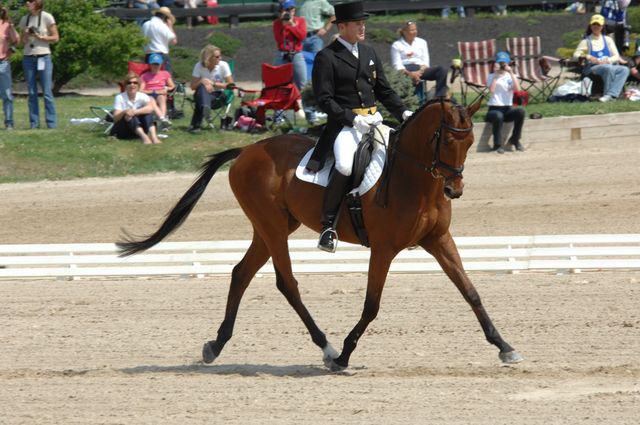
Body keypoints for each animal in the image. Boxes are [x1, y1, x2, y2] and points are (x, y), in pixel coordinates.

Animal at [117, 97, 524, 370]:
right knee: (286, 283)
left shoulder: (438, 240)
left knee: (241, 274)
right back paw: (326, 348)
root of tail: (247, 150)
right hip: (273, 226)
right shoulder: (384, 248)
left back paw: (215, 346)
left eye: (469, 142)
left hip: (272, 226)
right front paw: (344, 355)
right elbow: (372, 305)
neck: (415, 179)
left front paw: (504, 346)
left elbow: (470, 292)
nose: (454, 189)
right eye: (446, 140)